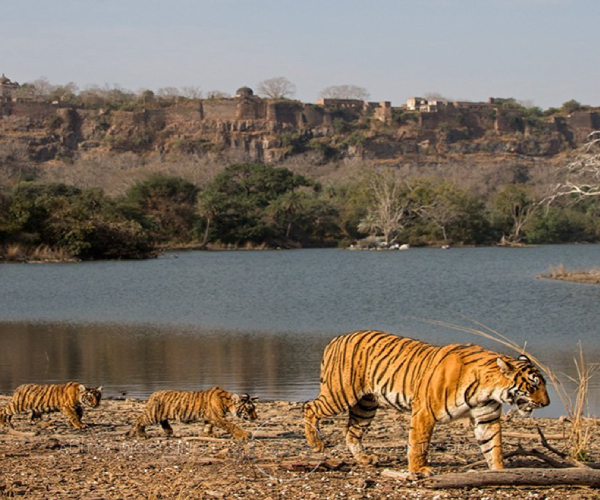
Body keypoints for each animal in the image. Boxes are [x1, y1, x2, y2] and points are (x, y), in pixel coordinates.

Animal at [302, 330, 552, 474]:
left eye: (543, 385)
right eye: (534, 385)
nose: (547, 403)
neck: (488, 391)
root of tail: (336, 339)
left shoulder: (487, 419)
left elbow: (494, 447)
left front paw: (499, 471)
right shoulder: (425, 412)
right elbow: (419, 443)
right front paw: (420, 470)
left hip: (366, 405)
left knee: (351, 431)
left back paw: (364, 459)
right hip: (340, 394)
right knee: (309, 406)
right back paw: (316, 444)